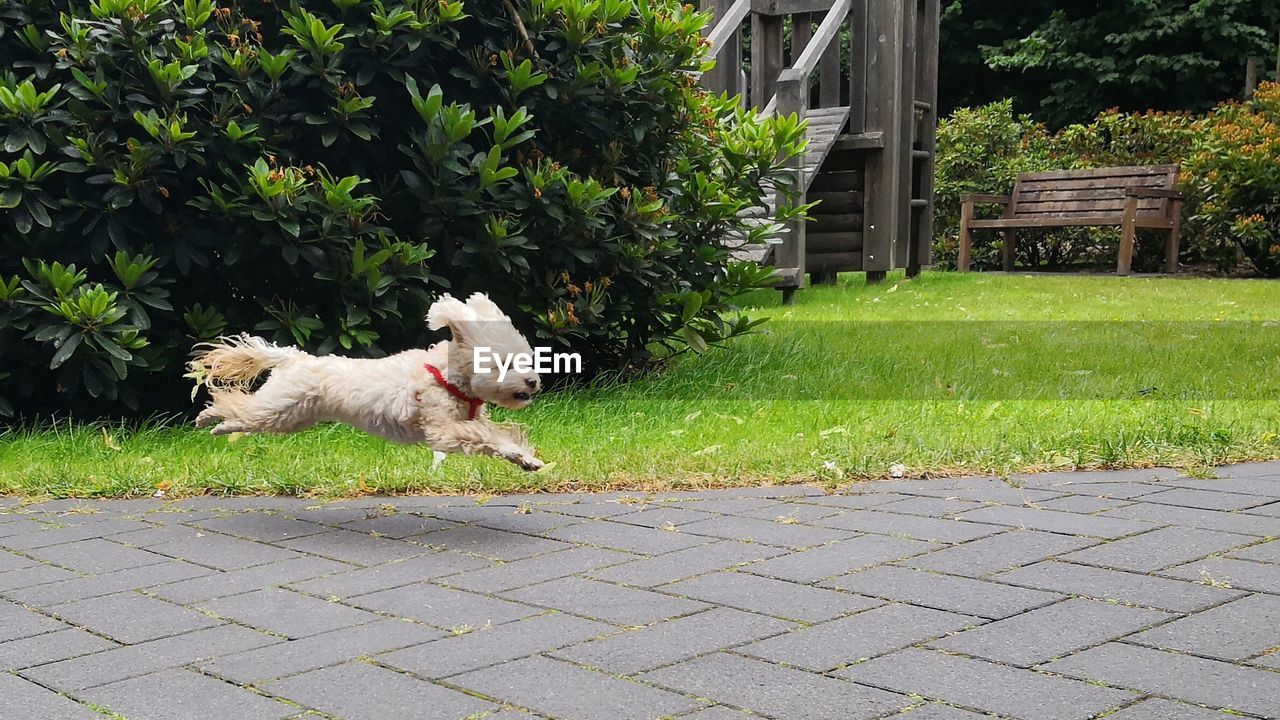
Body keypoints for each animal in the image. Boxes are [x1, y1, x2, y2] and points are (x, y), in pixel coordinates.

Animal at [190, 293, 545, 471]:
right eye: (504, 363)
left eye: (527, 359)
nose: (532, 382)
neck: (446, 378)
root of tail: (296, 358)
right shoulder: (442, 428)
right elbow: (484, 436)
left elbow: (498, 438)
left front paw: (526, 459)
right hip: (280, 405)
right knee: (238, 406)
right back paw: (208, 417)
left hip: (291, 416)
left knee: (246, 416)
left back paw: (219, 426)